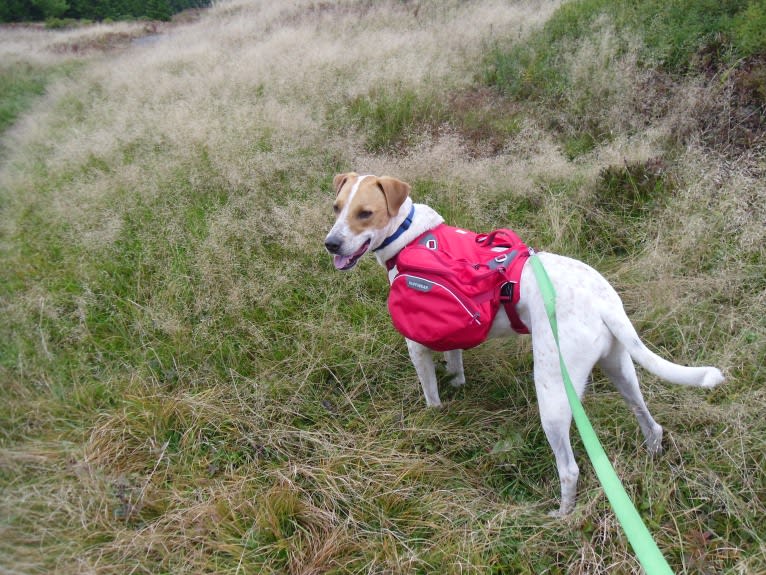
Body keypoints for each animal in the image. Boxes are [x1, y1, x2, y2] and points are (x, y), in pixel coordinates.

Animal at [324, 172, 728, 516]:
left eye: (365, 213)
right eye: (336, 207)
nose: (331, 243)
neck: (409, 236)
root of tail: (605, 302)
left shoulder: (417, 346)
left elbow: (430, 395)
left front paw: (431, 419)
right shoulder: (448, 330)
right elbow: (455, 361)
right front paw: (457, 382)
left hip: (553, 394)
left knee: (570, 469)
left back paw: (561, 515)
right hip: (621, 368)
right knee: (649, 420)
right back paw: (652, 455)